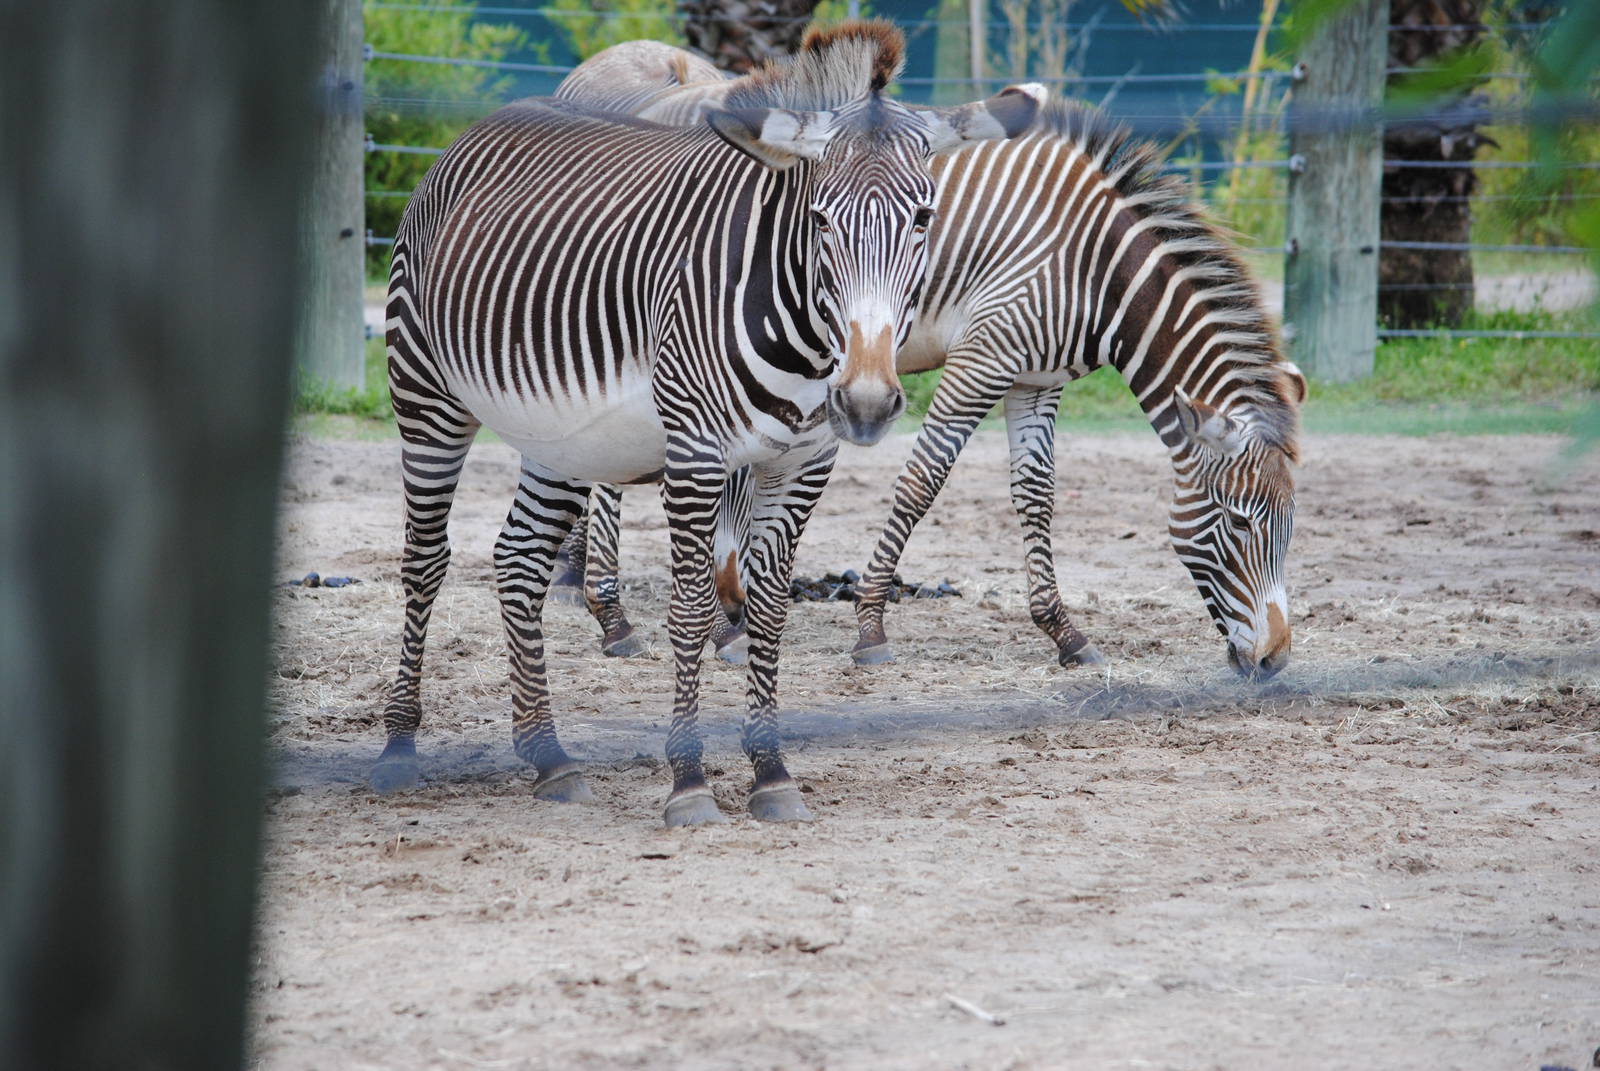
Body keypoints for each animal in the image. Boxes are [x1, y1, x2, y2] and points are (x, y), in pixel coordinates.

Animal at [375, 21, 1043, 827]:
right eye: (820, 220)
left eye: (923, 217)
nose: (866, 401)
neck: (804, 331)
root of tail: (487, 122)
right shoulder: (694, 454)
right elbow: (692, 609)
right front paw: (690, 781)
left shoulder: (804, 462)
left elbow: (768, 609)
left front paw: (772, 773)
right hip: (425, 395)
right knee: (425, 559)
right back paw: (400, 744)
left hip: (561, 436)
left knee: (518, 561)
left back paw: (550, 757)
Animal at [553, 47, 1306, 680]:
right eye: (1240, 521)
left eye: (1291, 522)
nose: (1274, 660)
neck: (1094, 265)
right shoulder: (983, 358)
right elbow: (922, 481)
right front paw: (871, 626)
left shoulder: (1036, 380)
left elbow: (1036, 495)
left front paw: (1065, 633)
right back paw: (613, 616)